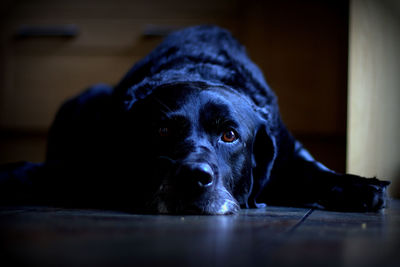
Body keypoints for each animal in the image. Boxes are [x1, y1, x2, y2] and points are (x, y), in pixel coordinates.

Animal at [0, 25, 390, 216]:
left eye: (230, 135)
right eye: (161, 130)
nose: (193, 177)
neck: (199, 65)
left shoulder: (287, 149)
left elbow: (317, 171)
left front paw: (361, 187)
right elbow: (51, 172)